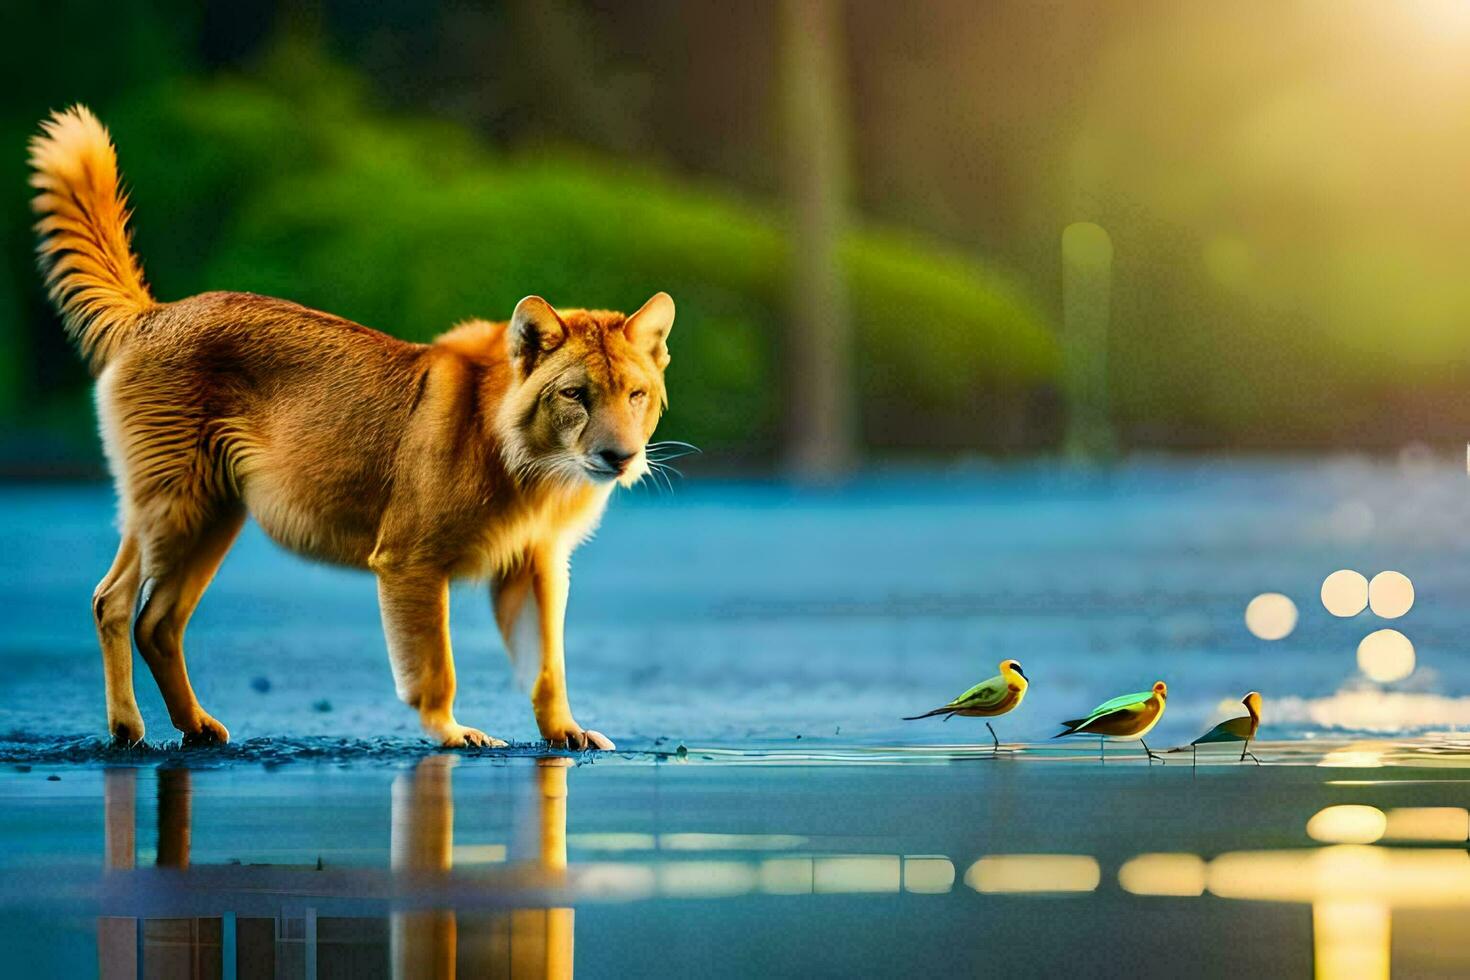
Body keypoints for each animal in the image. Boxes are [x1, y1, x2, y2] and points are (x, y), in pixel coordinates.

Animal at [31, 105, 676, 752]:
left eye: (635, 393)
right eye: (574, 394)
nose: (620, 457)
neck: (536, 471)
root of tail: (155, 315)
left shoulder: (538, 562)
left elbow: (548, 665)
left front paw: (567, 732)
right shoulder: (410, 559)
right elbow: (436, 665)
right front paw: (453, 734)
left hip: (211, 513)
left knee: (158, 622)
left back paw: (198, 728)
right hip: (172, 505)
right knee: (113, 602)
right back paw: (127, 731)